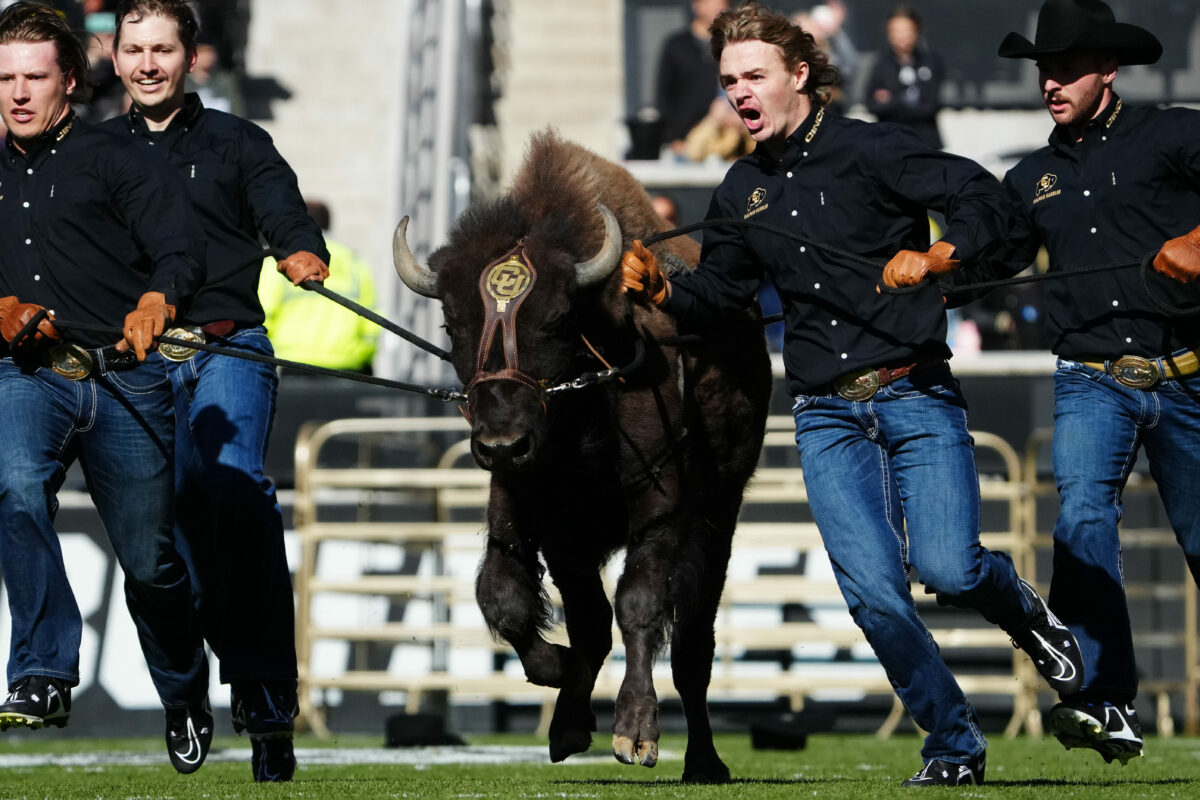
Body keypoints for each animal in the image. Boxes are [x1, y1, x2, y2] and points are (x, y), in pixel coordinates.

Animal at [393, 130, 768, 782]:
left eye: (559, 320)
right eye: (451, 323)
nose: (503, 443)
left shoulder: (659, 514)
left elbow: (637, 605)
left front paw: (635, 734)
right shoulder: (537, 519)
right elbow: (508, 599)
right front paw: (565, 689)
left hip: (719, 514)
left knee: (693, 645)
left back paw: (704, 761)